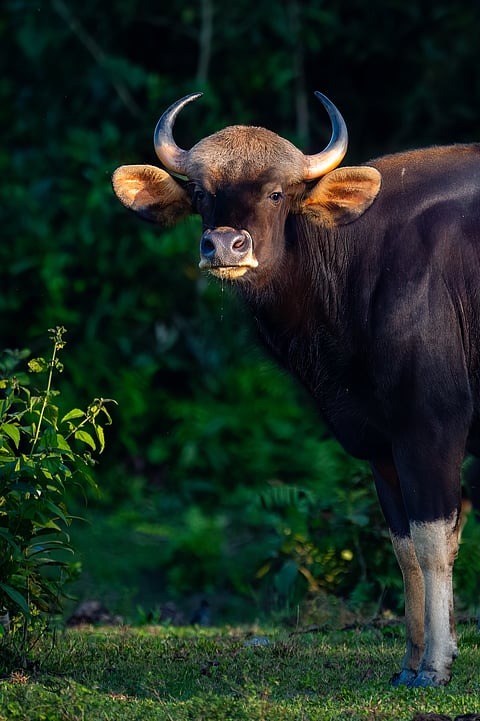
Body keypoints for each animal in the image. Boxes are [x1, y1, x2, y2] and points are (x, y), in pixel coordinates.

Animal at [112, 91, 480, 687]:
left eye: (277, 192)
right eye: (200, 193)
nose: (224, 246)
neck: (356, 264)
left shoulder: (434, 424)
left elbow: (433, 544)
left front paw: (435, 665)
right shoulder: (380, 442)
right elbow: (405, 548)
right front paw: (411, 661)